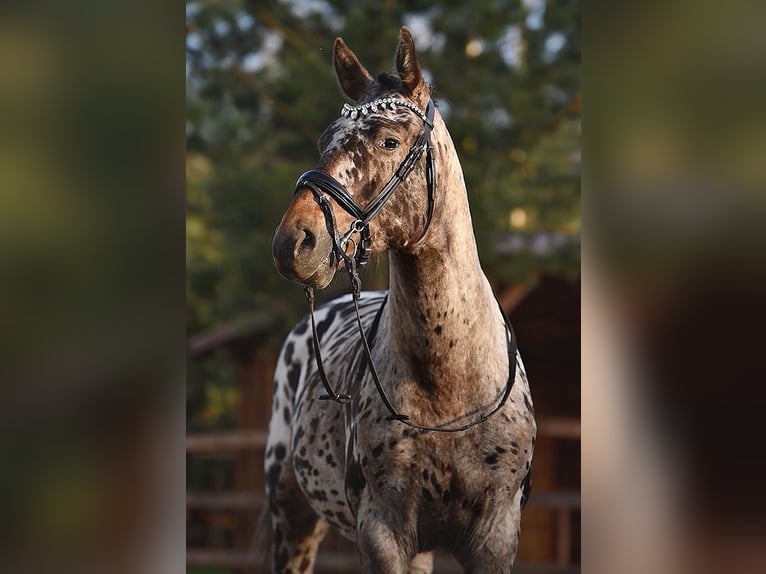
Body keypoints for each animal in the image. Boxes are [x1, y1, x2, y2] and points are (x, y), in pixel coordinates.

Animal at [260, 28, 536, 574]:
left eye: (389, 140)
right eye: (323, 142)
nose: (293, 243)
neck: (450, 387)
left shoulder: (495, 539)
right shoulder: (384, 533)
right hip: (293, 522)